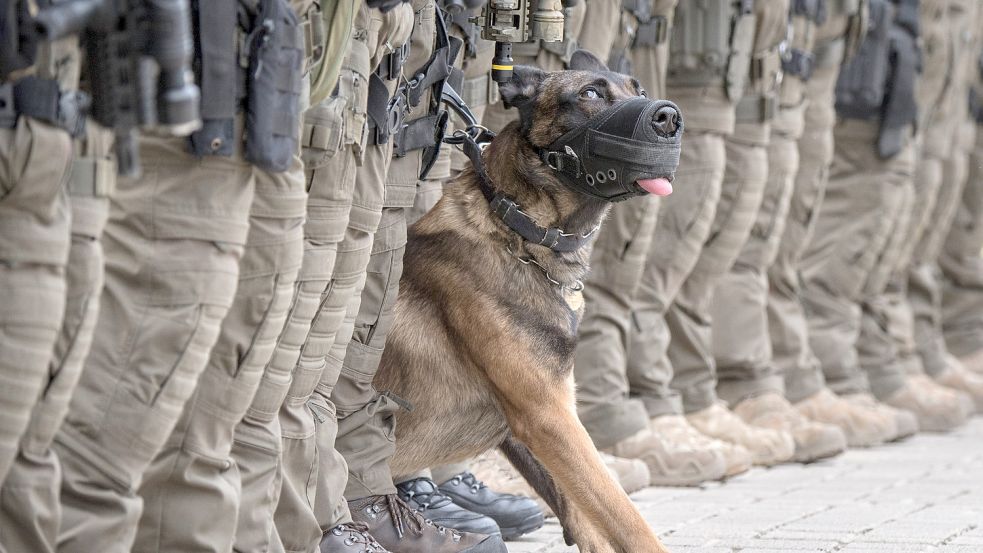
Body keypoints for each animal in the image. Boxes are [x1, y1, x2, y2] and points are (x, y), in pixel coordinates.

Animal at [372, 49, 680, 548]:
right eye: (590, 93)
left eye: (641, 90)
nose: (669, 117)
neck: (520, 233)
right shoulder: (548, 416)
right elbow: (626, 517)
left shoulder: (542, 419)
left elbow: (585, 518)